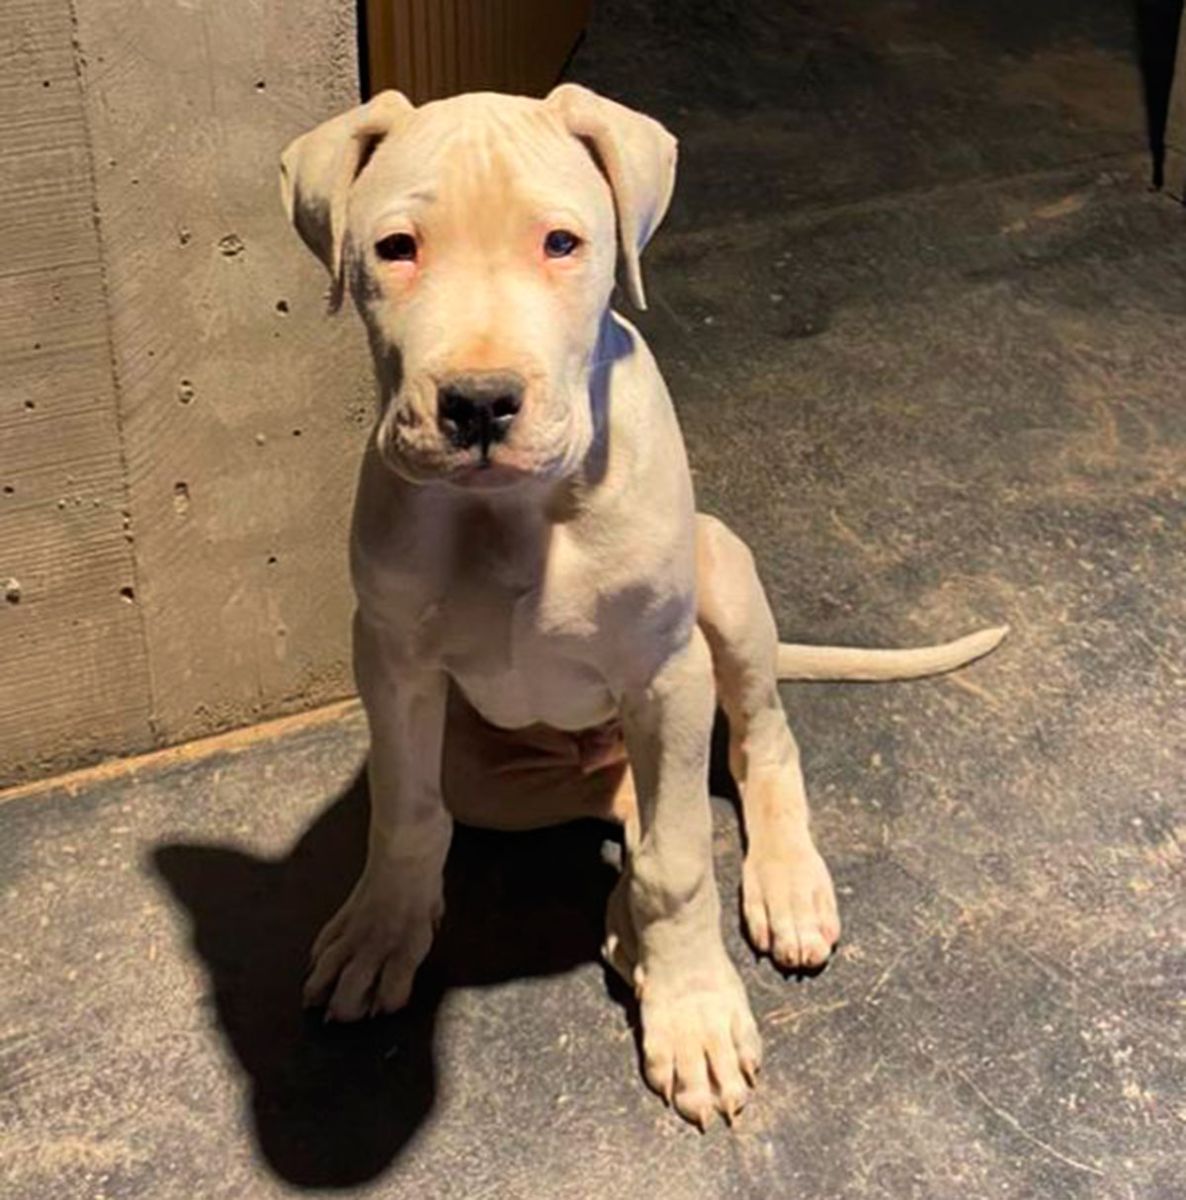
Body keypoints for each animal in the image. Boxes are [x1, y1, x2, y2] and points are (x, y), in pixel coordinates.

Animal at [279, 84, 1006, 1129]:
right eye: (395, 248)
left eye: (562, 243)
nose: (478, 404)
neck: (512, 516)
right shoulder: (393, 666)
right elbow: (409, 816)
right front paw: (381, 929)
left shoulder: (664, 674)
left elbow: (679, 863)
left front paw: (695, 1014)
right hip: (492, 765)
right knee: (624, 804)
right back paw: (628, 930)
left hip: (723, 586)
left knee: (753, 747)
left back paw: (780, 886)